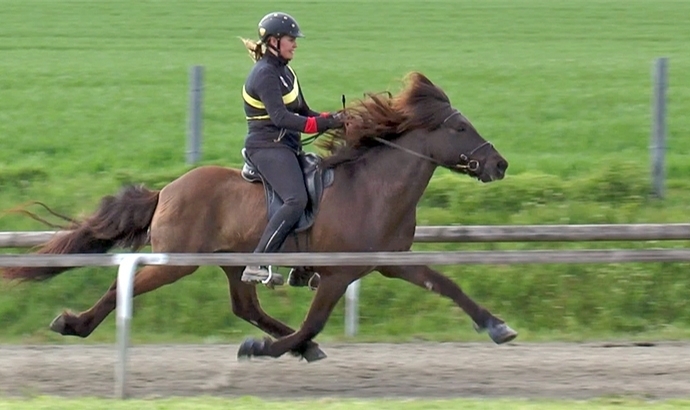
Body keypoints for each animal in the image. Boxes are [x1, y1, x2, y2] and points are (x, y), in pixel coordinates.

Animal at [1, 71, 516, 362]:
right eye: (460, 127)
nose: (499, 164)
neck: (374, 189)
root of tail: (167, 190)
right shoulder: (338, 273)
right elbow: (314, 320)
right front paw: (264, 350)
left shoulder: (389, 261)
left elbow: (448, 285)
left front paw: (497, 326)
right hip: (177, 261)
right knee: (122, 285)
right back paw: (74, 323)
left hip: (233, 262)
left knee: (245, 306)